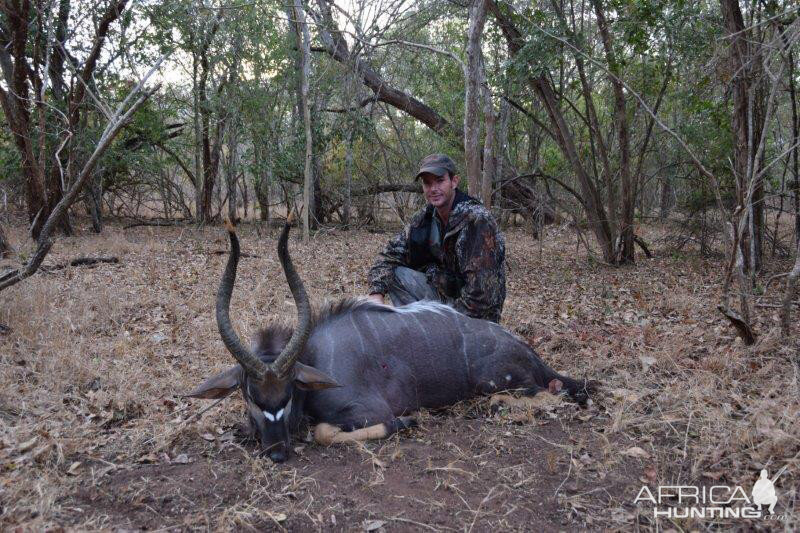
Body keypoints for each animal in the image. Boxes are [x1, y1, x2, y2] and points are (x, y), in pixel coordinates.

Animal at [186, 222, 588, 460]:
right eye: (249, 395)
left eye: (287, 394)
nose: (276, 453)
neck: (315, 354)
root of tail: (530, 354)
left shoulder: (369, 410)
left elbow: (323, 432)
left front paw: (407, 423)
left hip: (496, 383)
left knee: (551, 393)